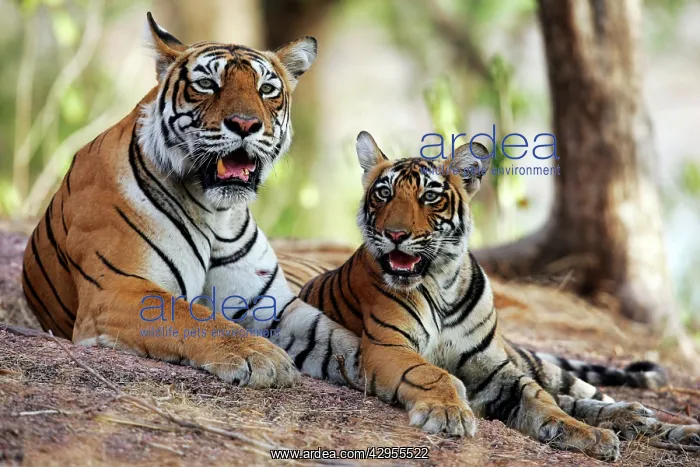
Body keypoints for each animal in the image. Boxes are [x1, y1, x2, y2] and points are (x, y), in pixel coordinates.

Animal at [21, 13, 362, 389]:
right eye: (207, 84)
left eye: (266, 89)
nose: (246, 124)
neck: (217, 214)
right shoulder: (117, 288)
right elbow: (195, 316)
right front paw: (261, 356)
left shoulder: (269, 304)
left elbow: (341, 341)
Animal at [282, 131, 700, 461]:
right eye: (383, 194)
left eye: (429, 196)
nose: (396, 234)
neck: (441, 283)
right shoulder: (389, 347)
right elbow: (433, 373)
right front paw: (449, 413)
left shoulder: (494, 367)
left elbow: (542, 400)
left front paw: (588, 434)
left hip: (540, 364)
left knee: (583, 396)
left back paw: (661, 424)